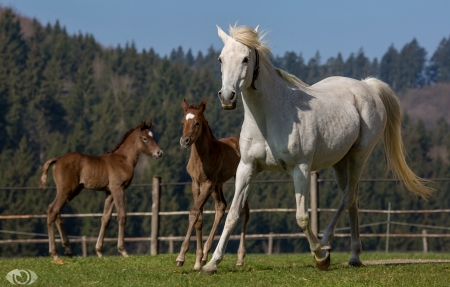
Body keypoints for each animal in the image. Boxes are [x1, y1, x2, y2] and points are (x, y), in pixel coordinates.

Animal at [38, 120, 162, 260]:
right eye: (145, 138)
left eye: (153, 137)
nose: (159, 153)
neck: (123, 160)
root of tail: (57, 159)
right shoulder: (118, 188)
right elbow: (122, 215)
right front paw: (123, 251)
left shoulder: (109, 192)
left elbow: (106, 218)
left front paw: (99, 251)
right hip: (66, 190)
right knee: (53, 211)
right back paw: (54, 253)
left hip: (73, 191)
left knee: (55, 210)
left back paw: (68, 250)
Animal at [177, 98, 250, 270]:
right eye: (183, 122)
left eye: (197, 123)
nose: (184, 141)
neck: (203, 156)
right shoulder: (196, 184)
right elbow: (199, 218)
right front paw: (198, 260)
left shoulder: (208, 184)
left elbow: (194, 212)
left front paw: (181, 256)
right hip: (219, 185)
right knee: (221, 206)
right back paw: (205, 255)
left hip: (238, 178)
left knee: (244, 211)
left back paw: (240, 258)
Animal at [201, 23, 432, 274]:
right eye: (220, 58)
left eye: (245, 59)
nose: (227, 97)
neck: (269, 117)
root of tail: (366, 85)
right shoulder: (247, 168)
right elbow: (233, 214)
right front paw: (212, 263)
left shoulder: (300, 169)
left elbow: (302, 217)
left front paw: (321, 257)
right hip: (340, 163)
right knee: (353, 200)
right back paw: (354, 256)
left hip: (359, 156)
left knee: (348, 197)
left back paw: (327, 243)